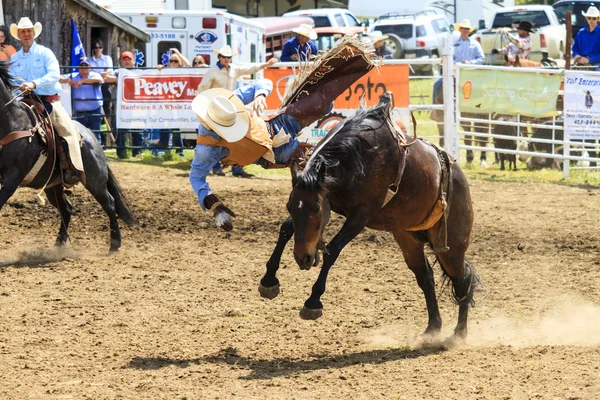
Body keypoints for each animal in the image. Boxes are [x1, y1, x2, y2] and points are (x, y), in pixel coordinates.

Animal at [0, 60, 137, 253]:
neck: (11, 121)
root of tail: (92, 136)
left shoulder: (13, 178)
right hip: (52, 185)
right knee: (67, 208)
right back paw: (59, 243)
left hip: (94, 180)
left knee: (109, 203)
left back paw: (115, 244)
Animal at [258, 93, 482, 340]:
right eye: (290, 206)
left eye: (316, 209)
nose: (302, 258)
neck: (359, 155)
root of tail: (458, 175)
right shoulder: (331, 200)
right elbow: (287, 228)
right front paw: (269, 280)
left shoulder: (361, 215)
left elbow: (332, 250)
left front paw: (313, 302)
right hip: (409, 240)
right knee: (426, 278)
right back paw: (433, 327)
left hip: (452, 246)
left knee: (462, 280)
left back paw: (459, 333)